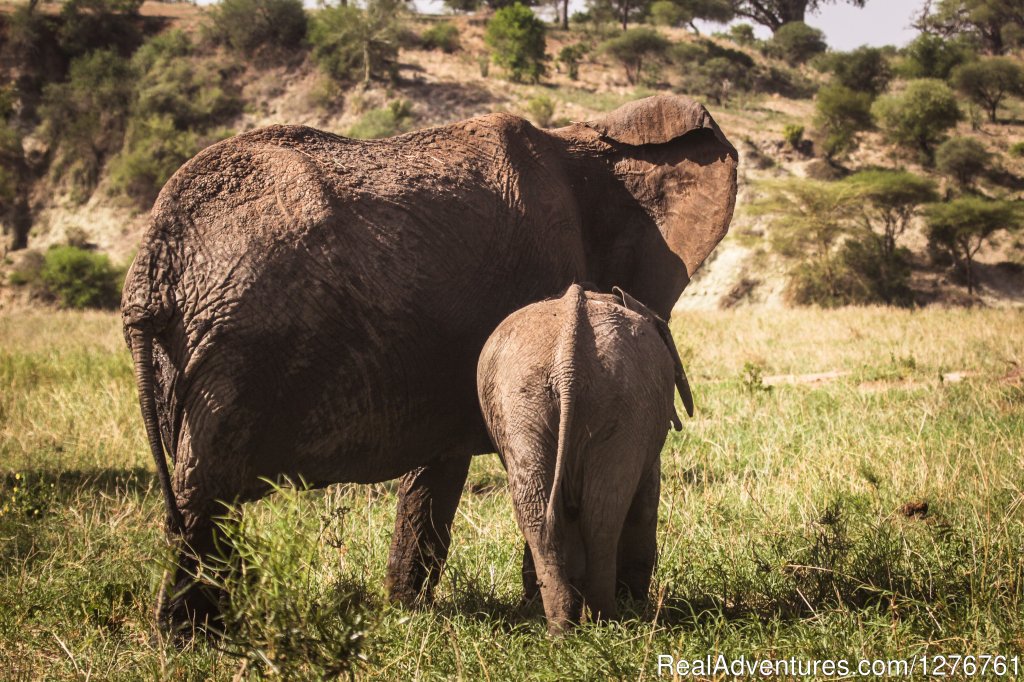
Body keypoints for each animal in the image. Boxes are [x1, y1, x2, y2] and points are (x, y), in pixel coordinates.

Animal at [477, 280, 688, 630]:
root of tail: (568, 366)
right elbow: (644, 504)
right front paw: (634, 603)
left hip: (522, 402)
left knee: (540, 511)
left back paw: (563, 627)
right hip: (626, 405)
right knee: (604, 514)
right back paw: (609, 620)